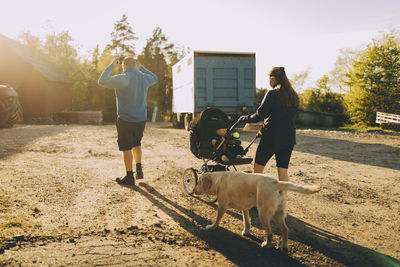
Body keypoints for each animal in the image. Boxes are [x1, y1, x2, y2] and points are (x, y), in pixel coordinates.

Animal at [192, 172, 320, 253]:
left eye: (198, 182)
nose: (193, 190)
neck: (219, 179)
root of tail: (276, 182)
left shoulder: (222, 206)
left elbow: (217, 219)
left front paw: (212, 227)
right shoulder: (244, 208)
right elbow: (246, 221)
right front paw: (246, 231)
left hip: (263, 213)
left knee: (270, 233)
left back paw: (267, 245)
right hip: (277, 214)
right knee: (285, 230)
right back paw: (284, 247)